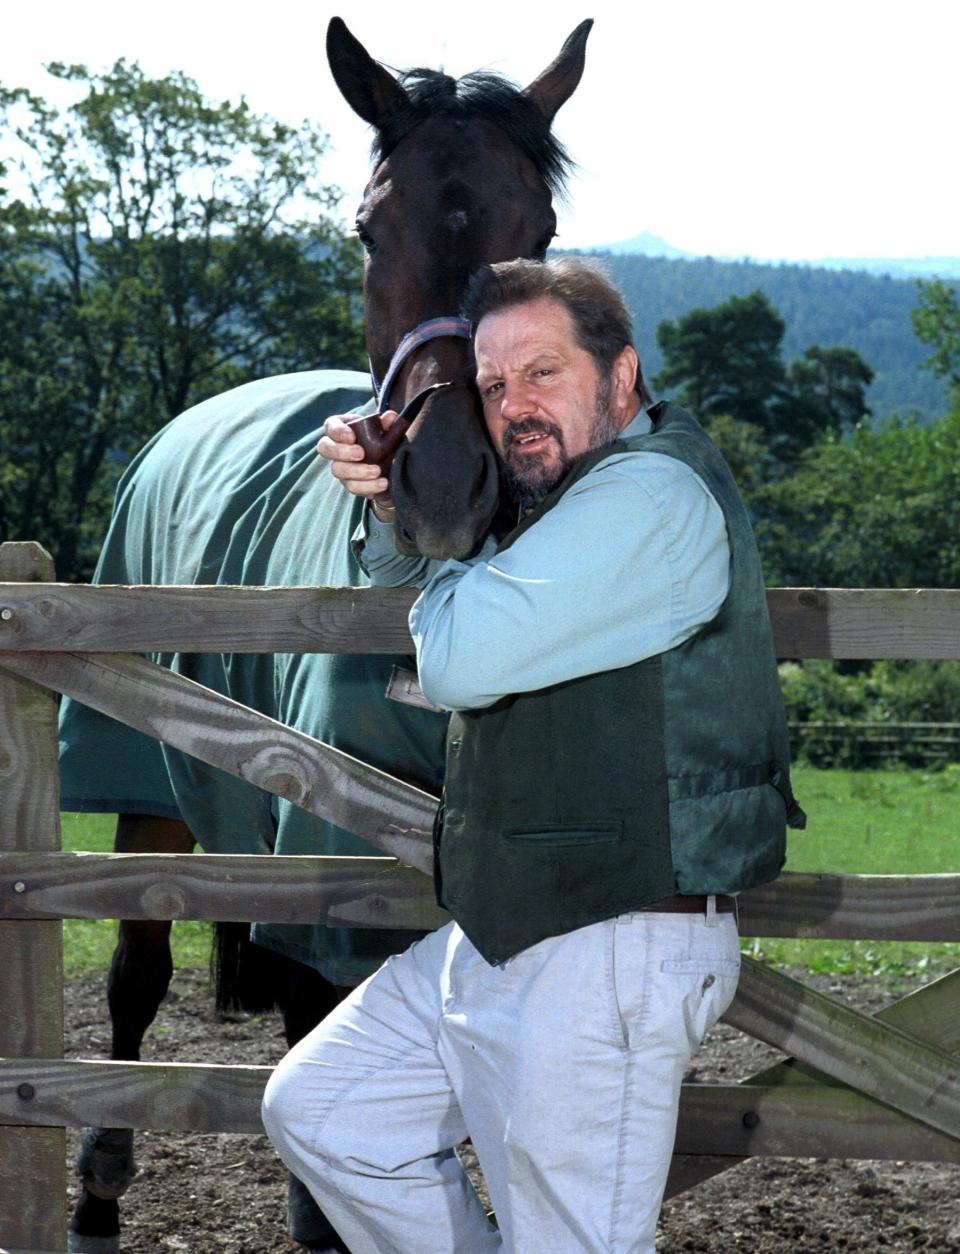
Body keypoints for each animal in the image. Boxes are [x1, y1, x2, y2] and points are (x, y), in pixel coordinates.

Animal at [60, 17, 594, 1254]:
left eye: (539, 232)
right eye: (366, 227)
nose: (445, 479)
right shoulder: (329, 865)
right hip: (146, 781)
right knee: (135, 971)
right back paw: (98, 1192)